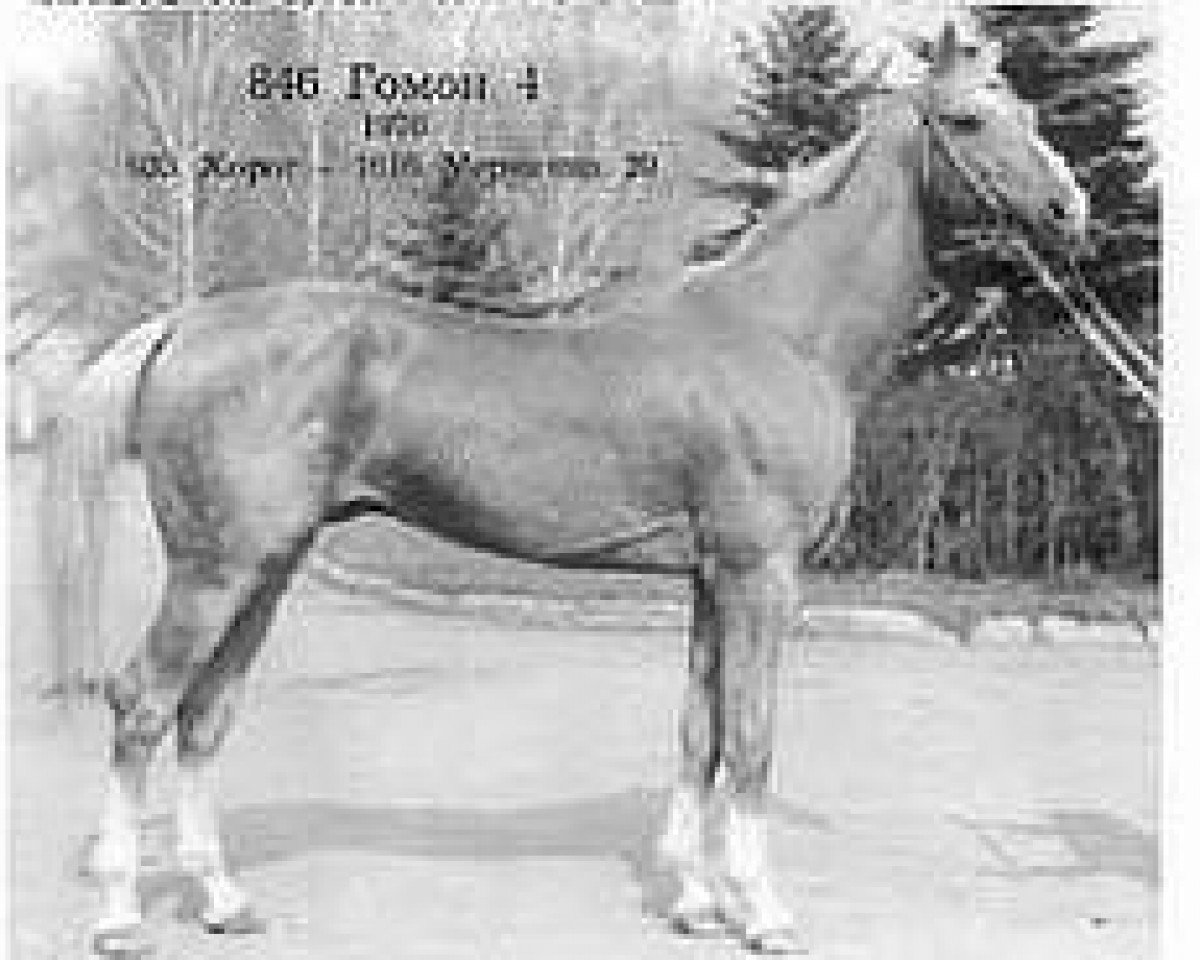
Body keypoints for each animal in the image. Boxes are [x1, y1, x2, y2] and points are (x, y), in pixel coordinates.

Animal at [43, 21, 1087, 957]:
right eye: (969, 119)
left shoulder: (710, 578)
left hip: (267, 564)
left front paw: (695, 904)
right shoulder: (762, 574)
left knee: (203, 714)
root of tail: (184, 323)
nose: (1070, 212)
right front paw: (762, 913)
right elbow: (751, 739)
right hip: (217, 568)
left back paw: (223, 902)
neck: (780, 332)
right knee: (142, 704)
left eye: (1031, 111)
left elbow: (699, 733)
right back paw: (119, 917)